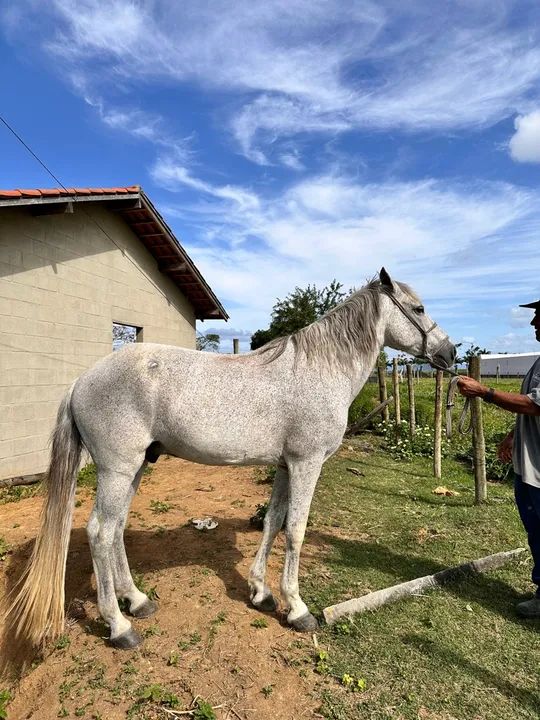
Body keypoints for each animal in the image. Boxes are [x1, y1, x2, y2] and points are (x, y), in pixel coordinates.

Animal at [4, 268, 455, 649]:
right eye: (418, 309)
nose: (450, 352)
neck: (319, 370)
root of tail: (82, 380)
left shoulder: (285, 466)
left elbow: (273, 522)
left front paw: (261, 592)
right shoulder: (307, 464)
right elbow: (296, 531)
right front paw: (298, 609)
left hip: (134, 469)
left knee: (115, 530)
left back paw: (137, 600)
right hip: (117, 469)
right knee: (99, 531)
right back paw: (119, 626)